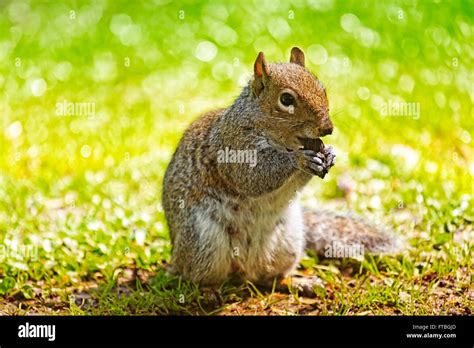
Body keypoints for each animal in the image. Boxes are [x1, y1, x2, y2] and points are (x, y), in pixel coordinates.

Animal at [163, 46, 400, 290]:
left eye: (322, 89)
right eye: (286, 99)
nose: (327, 128)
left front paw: (330, 153)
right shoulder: (233, 148)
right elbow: (252, 176)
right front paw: (298, 160)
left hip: (288, 242)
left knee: (270, 278)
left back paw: (300, 282)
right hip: (203, 242)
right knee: (197, 277)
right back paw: (209, 290)